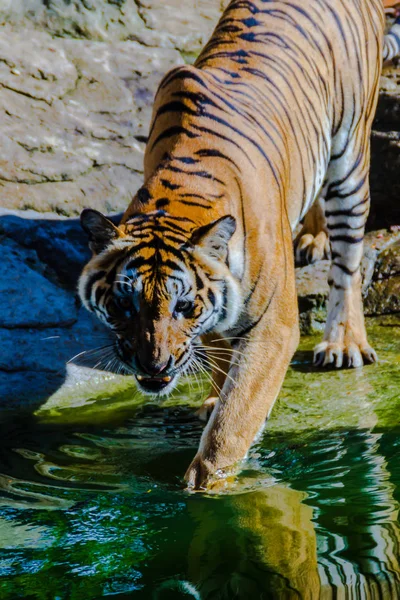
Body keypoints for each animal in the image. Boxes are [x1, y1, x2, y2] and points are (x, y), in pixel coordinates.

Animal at [78, 0, 400, 490]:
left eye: (183, 306)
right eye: (121, 306)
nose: (153, 367)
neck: (177, 199)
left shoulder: (274, 327)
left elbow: (236, 415)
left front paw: (208, 483)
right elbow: (219, 351)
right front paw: (212, 398)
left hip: (351, 154)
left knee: (348, 259)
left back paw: (343, 343)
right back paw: (313, 237)